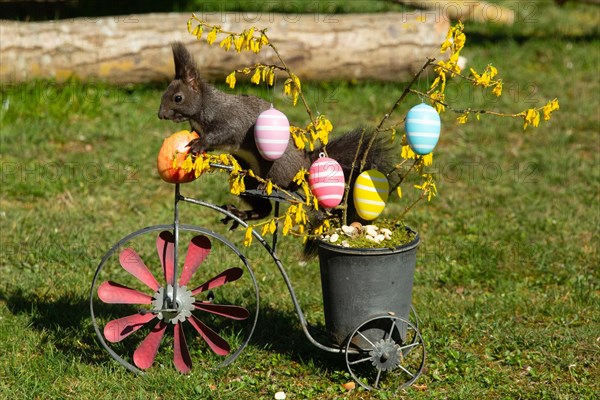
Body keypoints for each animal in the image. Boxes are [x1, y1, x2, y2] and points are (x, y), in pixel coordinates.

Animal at [159, 43, 394, 225]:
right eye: (164, 94)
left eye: (178, 98)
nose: (161, 115)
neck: (202, 109)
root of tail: (306, 165)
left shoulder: (229, 119)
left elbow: (223, 134)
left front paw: (200, 144)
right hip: (248, 180)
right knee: (264, 209)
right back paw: (241, 213)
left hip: (275, 169)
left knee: (276, 188)